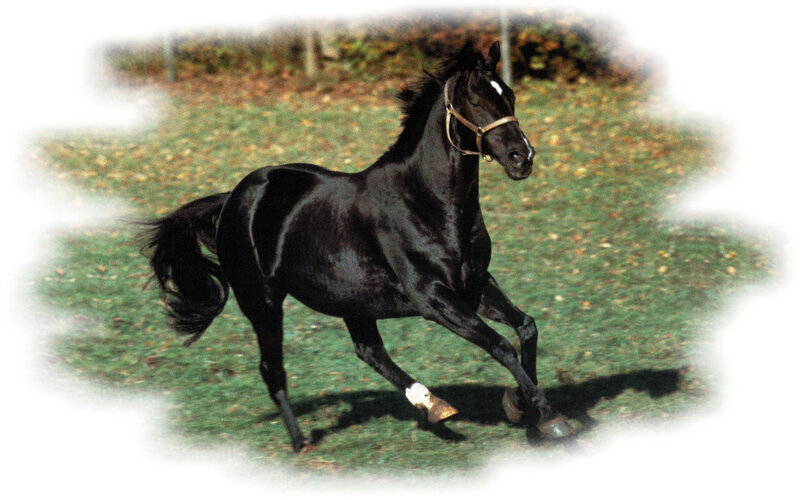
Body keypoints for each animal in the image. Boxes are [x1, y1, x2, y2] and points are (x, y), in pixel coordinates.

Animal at [141, 41, 574, 452]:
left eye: (510, 96)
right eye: (477, 101)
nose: (523, 157)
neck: (426, 201)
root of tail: (233, 198)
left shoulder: (475, 284)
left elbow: (526, 327)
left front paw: (521, 404)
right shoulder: (433, 299)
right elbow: (501, 345)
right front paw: (551, 418)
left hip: (351, 301)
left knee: (369, 351)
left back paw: (433, 405)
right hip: (263, 302)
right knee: (273, 368)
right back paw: (300, 442)